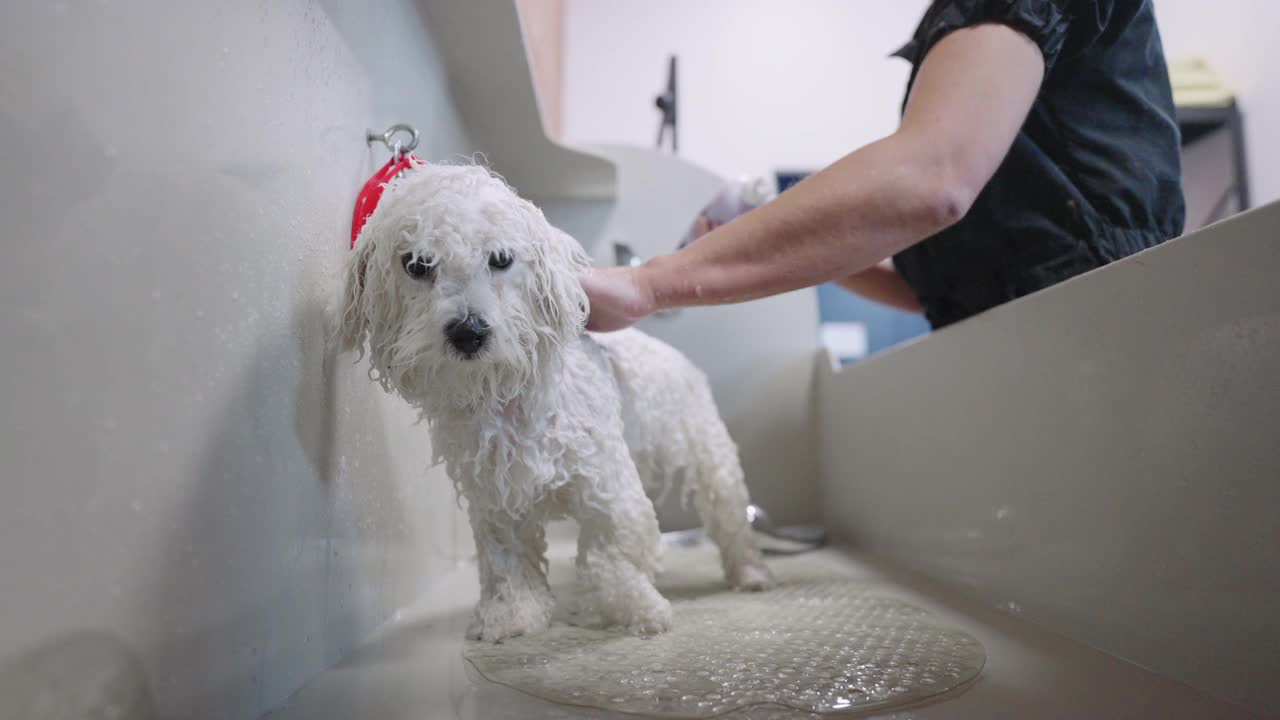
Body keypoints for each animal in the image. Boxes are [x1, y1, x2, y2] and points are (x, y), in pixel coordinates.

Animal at [337, 161, 768, 638]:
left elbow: (609, 556)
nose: (469, 332)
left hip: (709, 454)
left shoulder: (606, 484)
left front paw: (637, 609)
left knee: (730, 516)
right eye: (416, 265)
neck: (509, 405)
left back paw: (750, 573)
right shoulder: (494, 497)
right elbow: (507, 563)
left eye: (500, 259)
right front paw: (513, 614)